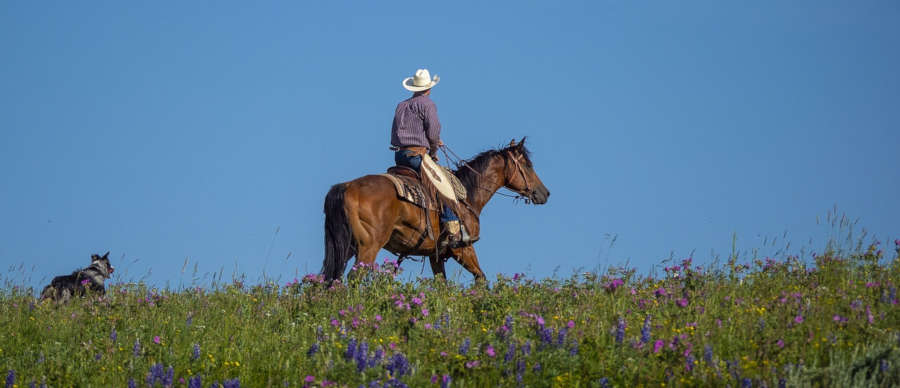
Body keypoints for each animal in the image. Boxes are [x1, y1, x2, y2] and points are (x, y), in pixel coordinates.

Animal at [324, 139, 548, 282]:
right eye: (527, 165)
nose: (545, 193)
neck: (467, 196)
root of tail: (346, 186)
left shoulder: (436, 255)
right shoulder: (463, 248)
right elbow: (481, 278)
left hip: (346, 247)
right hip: (368, 246)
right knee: (353, 277)